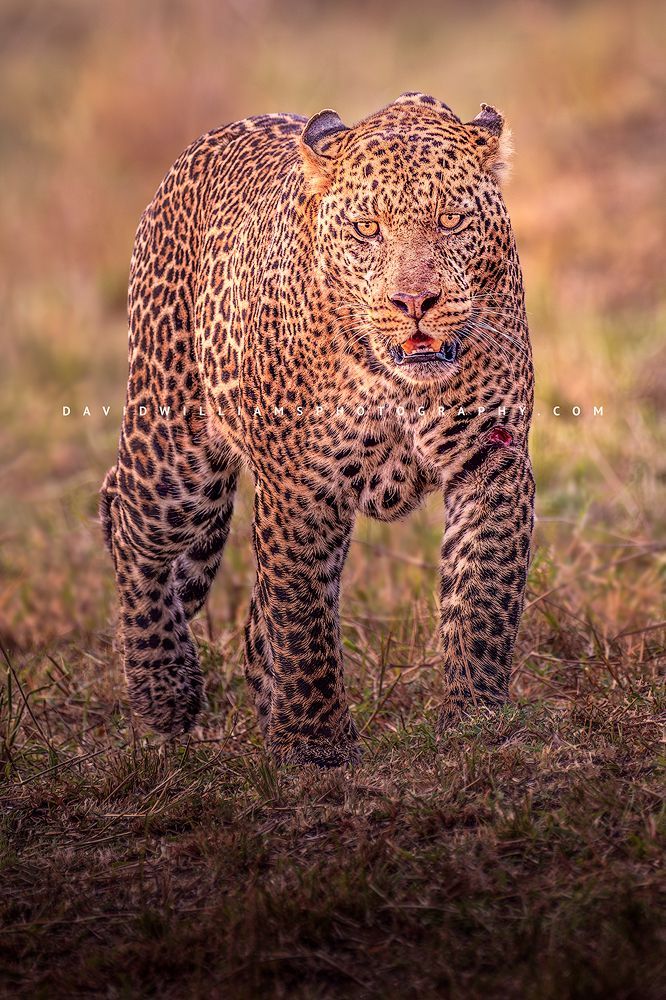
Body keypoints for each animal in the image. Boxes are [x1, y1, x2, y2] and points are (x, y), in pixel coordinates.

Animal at [100, 92, 535, 768]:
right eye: (368, 230)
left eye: (449, 222)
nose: (415, 303)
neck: (400, 382)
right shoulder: (301, 486)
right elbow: (303, 616)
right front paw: (319, 746)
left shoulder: (492, 461)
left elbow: (482, 595)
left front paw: (476, 722)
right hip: (176, 460)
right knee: (125, 522)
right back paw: (164, 689)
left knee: (255, 618)